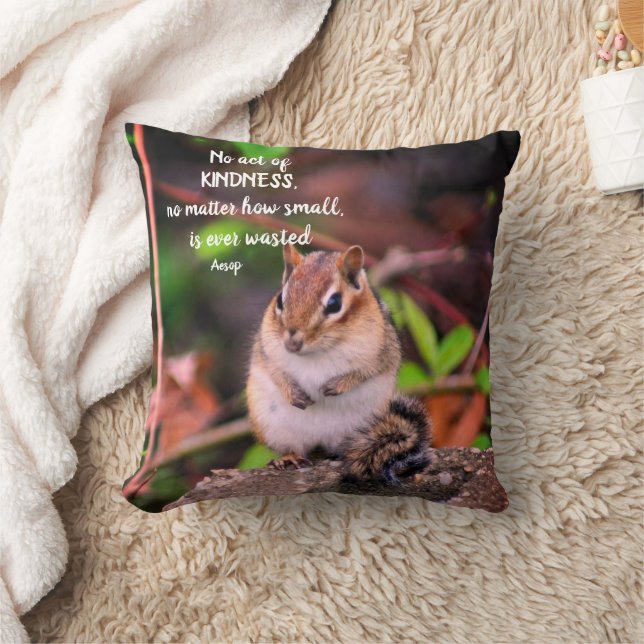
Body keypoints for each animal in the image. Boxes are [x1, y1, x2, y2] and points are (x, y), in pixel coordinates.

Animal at [246, 244, 432, 484]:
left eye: (334, 304)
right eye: (280, 301)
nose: (292, 343)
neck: (317, 351)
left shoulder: (383, 352)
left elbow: (367, 371)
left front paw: (337, 385)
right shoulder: (266, 350)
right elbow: (275, 371)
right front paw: (293, 393)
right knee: (294, 447)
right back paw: (288, 458)